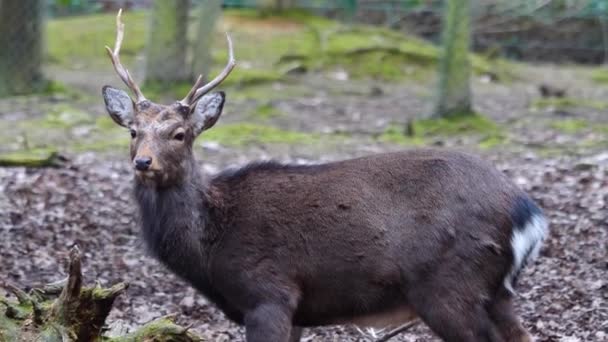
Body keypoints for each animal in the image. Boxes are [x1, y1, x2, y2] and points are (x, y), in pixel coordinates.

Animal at [100, 9, 548, 340]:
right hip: (495, 290)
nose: (144, 163)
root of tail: (529, 212)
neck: (210, 247)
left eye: (179, 134)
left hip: (450, 284)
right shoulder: (296, 311)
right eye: (134, 131)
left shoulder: (269, 293)